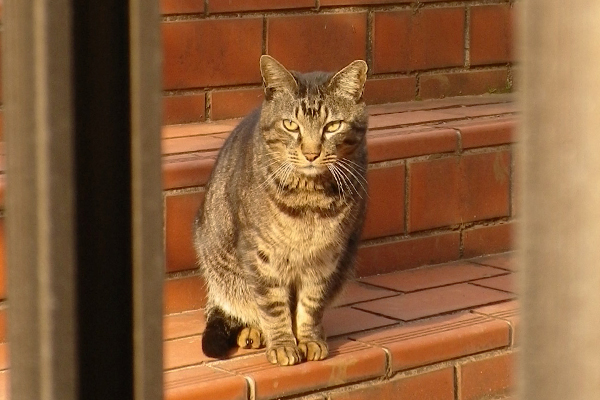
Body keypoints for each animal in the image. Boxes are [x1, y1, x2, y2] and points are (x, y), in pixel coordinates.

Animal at [195, 54, 368, 368]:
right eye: (291, 125)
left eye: (332, 126)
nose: (311, 153)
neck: (309, 199)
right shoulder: (261, 255)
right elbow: (273, 306)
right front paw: (284, 345)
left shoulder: (325, 256)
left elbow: (311, 304)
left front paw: (309, 339)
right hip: (224, 273)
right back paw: (253, 333)